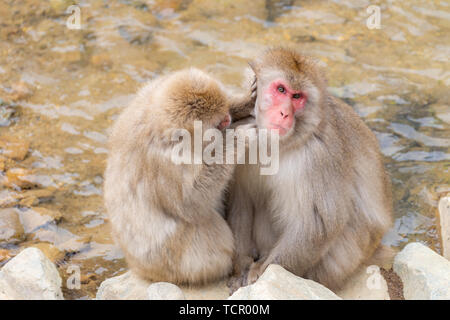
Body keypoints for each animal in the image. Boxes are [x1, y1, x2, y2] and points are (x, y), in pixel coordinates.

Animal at [103, 68, 255, 284]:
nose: (228, 119)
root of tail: (138, 268)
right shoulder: (167, 162)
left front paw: (246, 100)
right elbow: (190, 203)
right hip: (176, 263)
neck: (156, 121)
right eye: (218, 124)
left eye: (225, 112)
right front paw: (237, 138)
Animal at [227, 47, 392, 290]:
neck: (277, 143)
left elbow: (318, 224)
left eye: (297, 97)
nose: (285, 113)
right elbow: (242, 201)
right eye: (281, 89)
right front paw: (241, 266)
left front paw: (260, 271)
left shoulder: (319, 155)